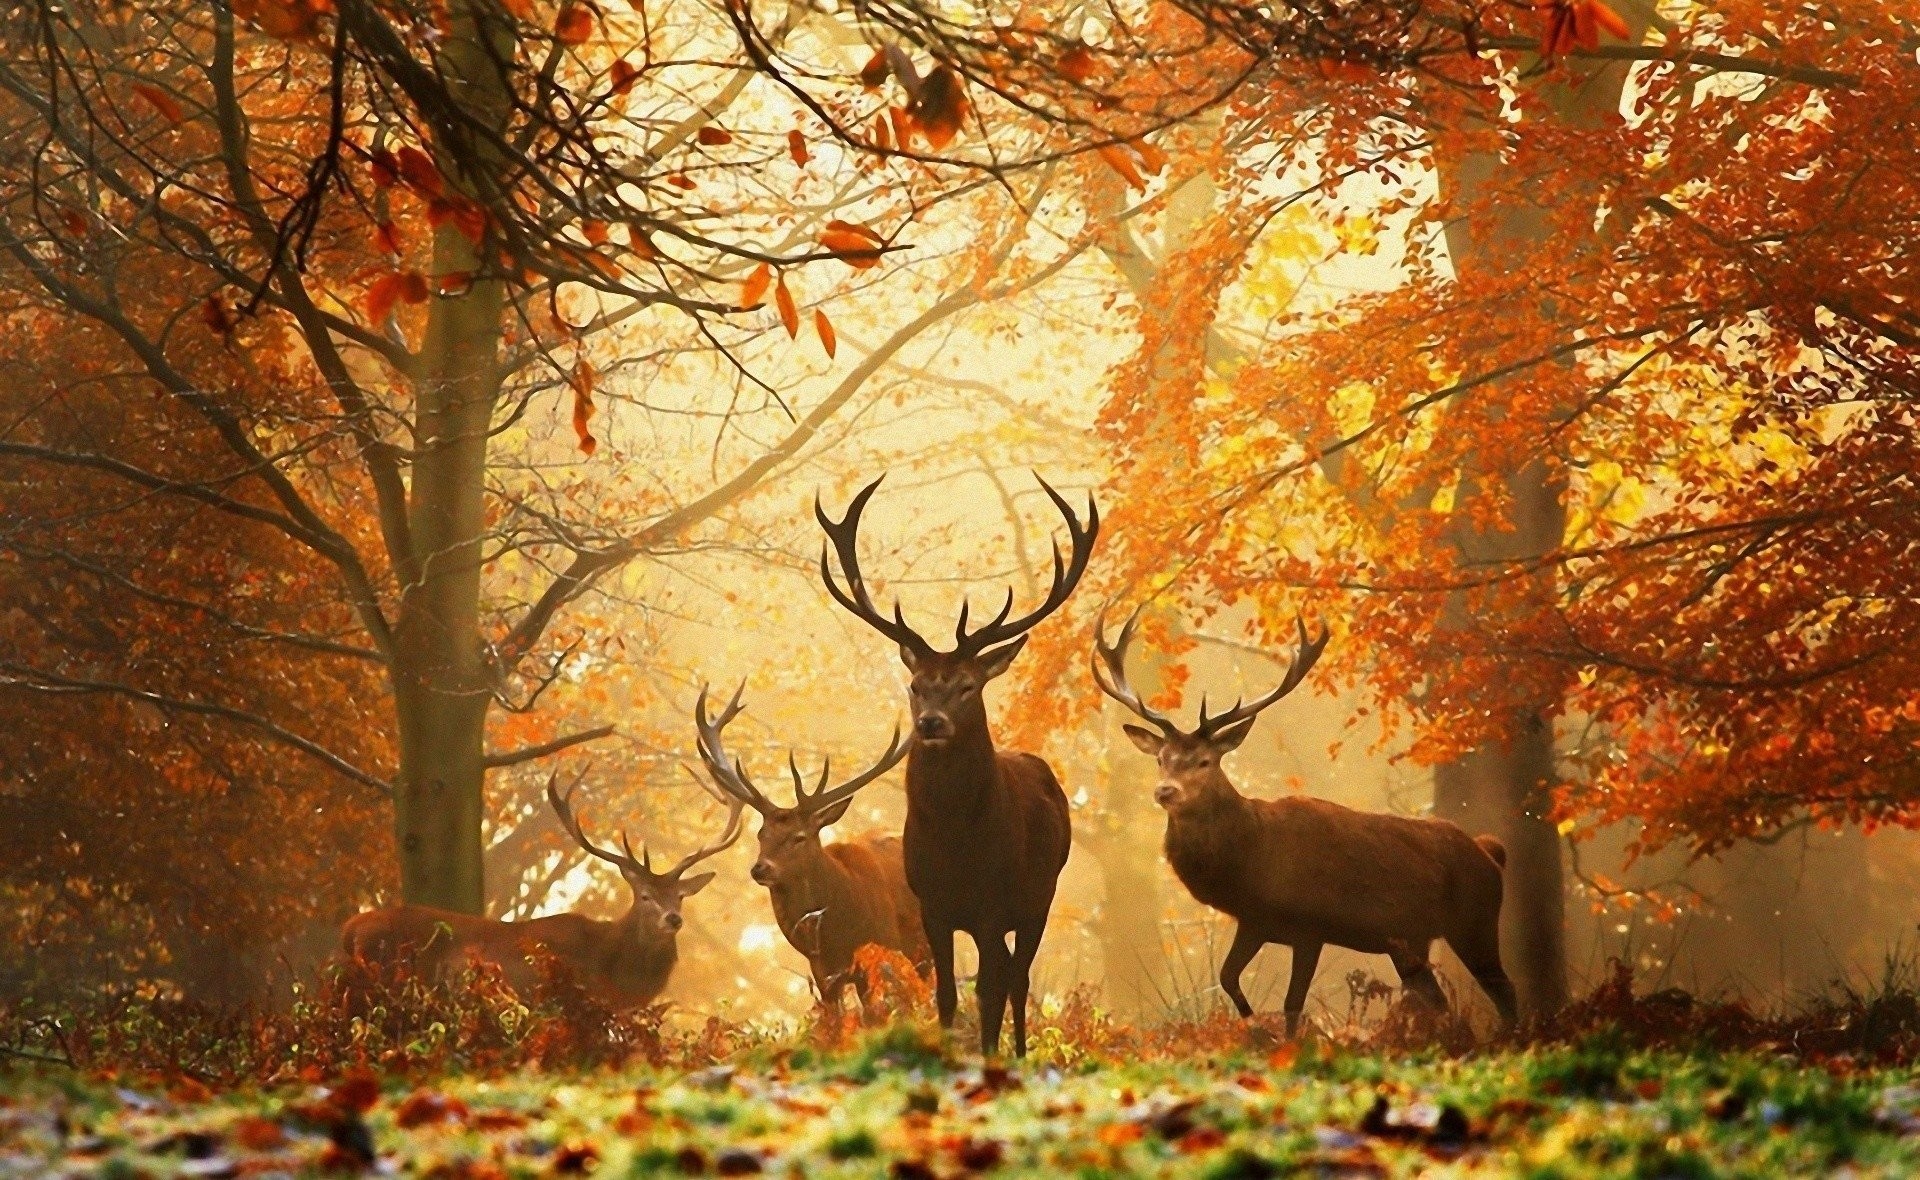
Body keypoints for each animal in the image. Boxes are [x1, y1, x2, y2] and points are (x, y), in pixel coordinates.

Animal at [692, 684, 932, 1020]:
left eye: (799, 837)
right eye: (761, 834)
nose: (760, 868)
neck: (838, 932)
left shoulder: (882, 949)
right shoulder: (822, 972)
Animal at [816, 473, 1096, 1056]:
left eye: (968, 685)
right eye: (916, 685)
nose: (931, 723)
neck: (957, 845)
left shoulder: (993, 904)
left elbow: (989, 990)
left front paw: (989, 1057)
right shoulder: (932, 905)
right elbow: (945, 993)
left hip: (1040, 896)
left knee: (1018, 978)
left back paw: (1018, 1053)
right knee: (1009, 974)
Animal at [1092, 609, 1518, 1037]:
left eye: (1204, 761)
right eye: (1160, 758)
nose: (1164, 790)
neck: (1252, 862)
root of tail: (1491, 852)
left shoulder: (1311, 927)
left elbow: (1292, 1004)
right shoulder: (1254, 922)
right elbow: (1228, 977)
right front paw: (1254, 1028)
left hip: (1475, 921)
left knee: (1505, 991)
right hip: (1410, 942)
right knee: (1439, 1000)